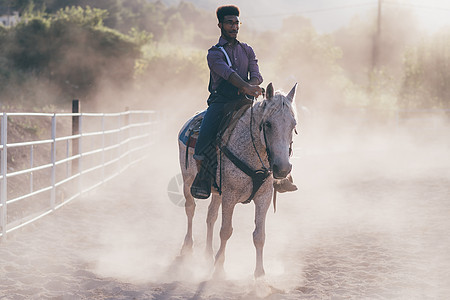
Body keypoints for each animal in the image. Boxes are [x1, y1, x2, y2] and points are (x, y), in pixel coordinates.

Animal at [177, 82, 298, 278]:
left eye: (293, 124)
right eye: (268, 124)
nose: (282, 168)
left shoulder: (263, 197)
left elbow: (259, 235)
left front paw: (259, 273)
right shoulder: (230, 197)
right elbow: (226, 231)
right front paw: (219, 268)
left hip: (217, 191)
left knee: (211, 216)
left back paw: (208, 255)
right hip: (188, 180)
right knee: (190, 208)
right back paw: (187, 247)